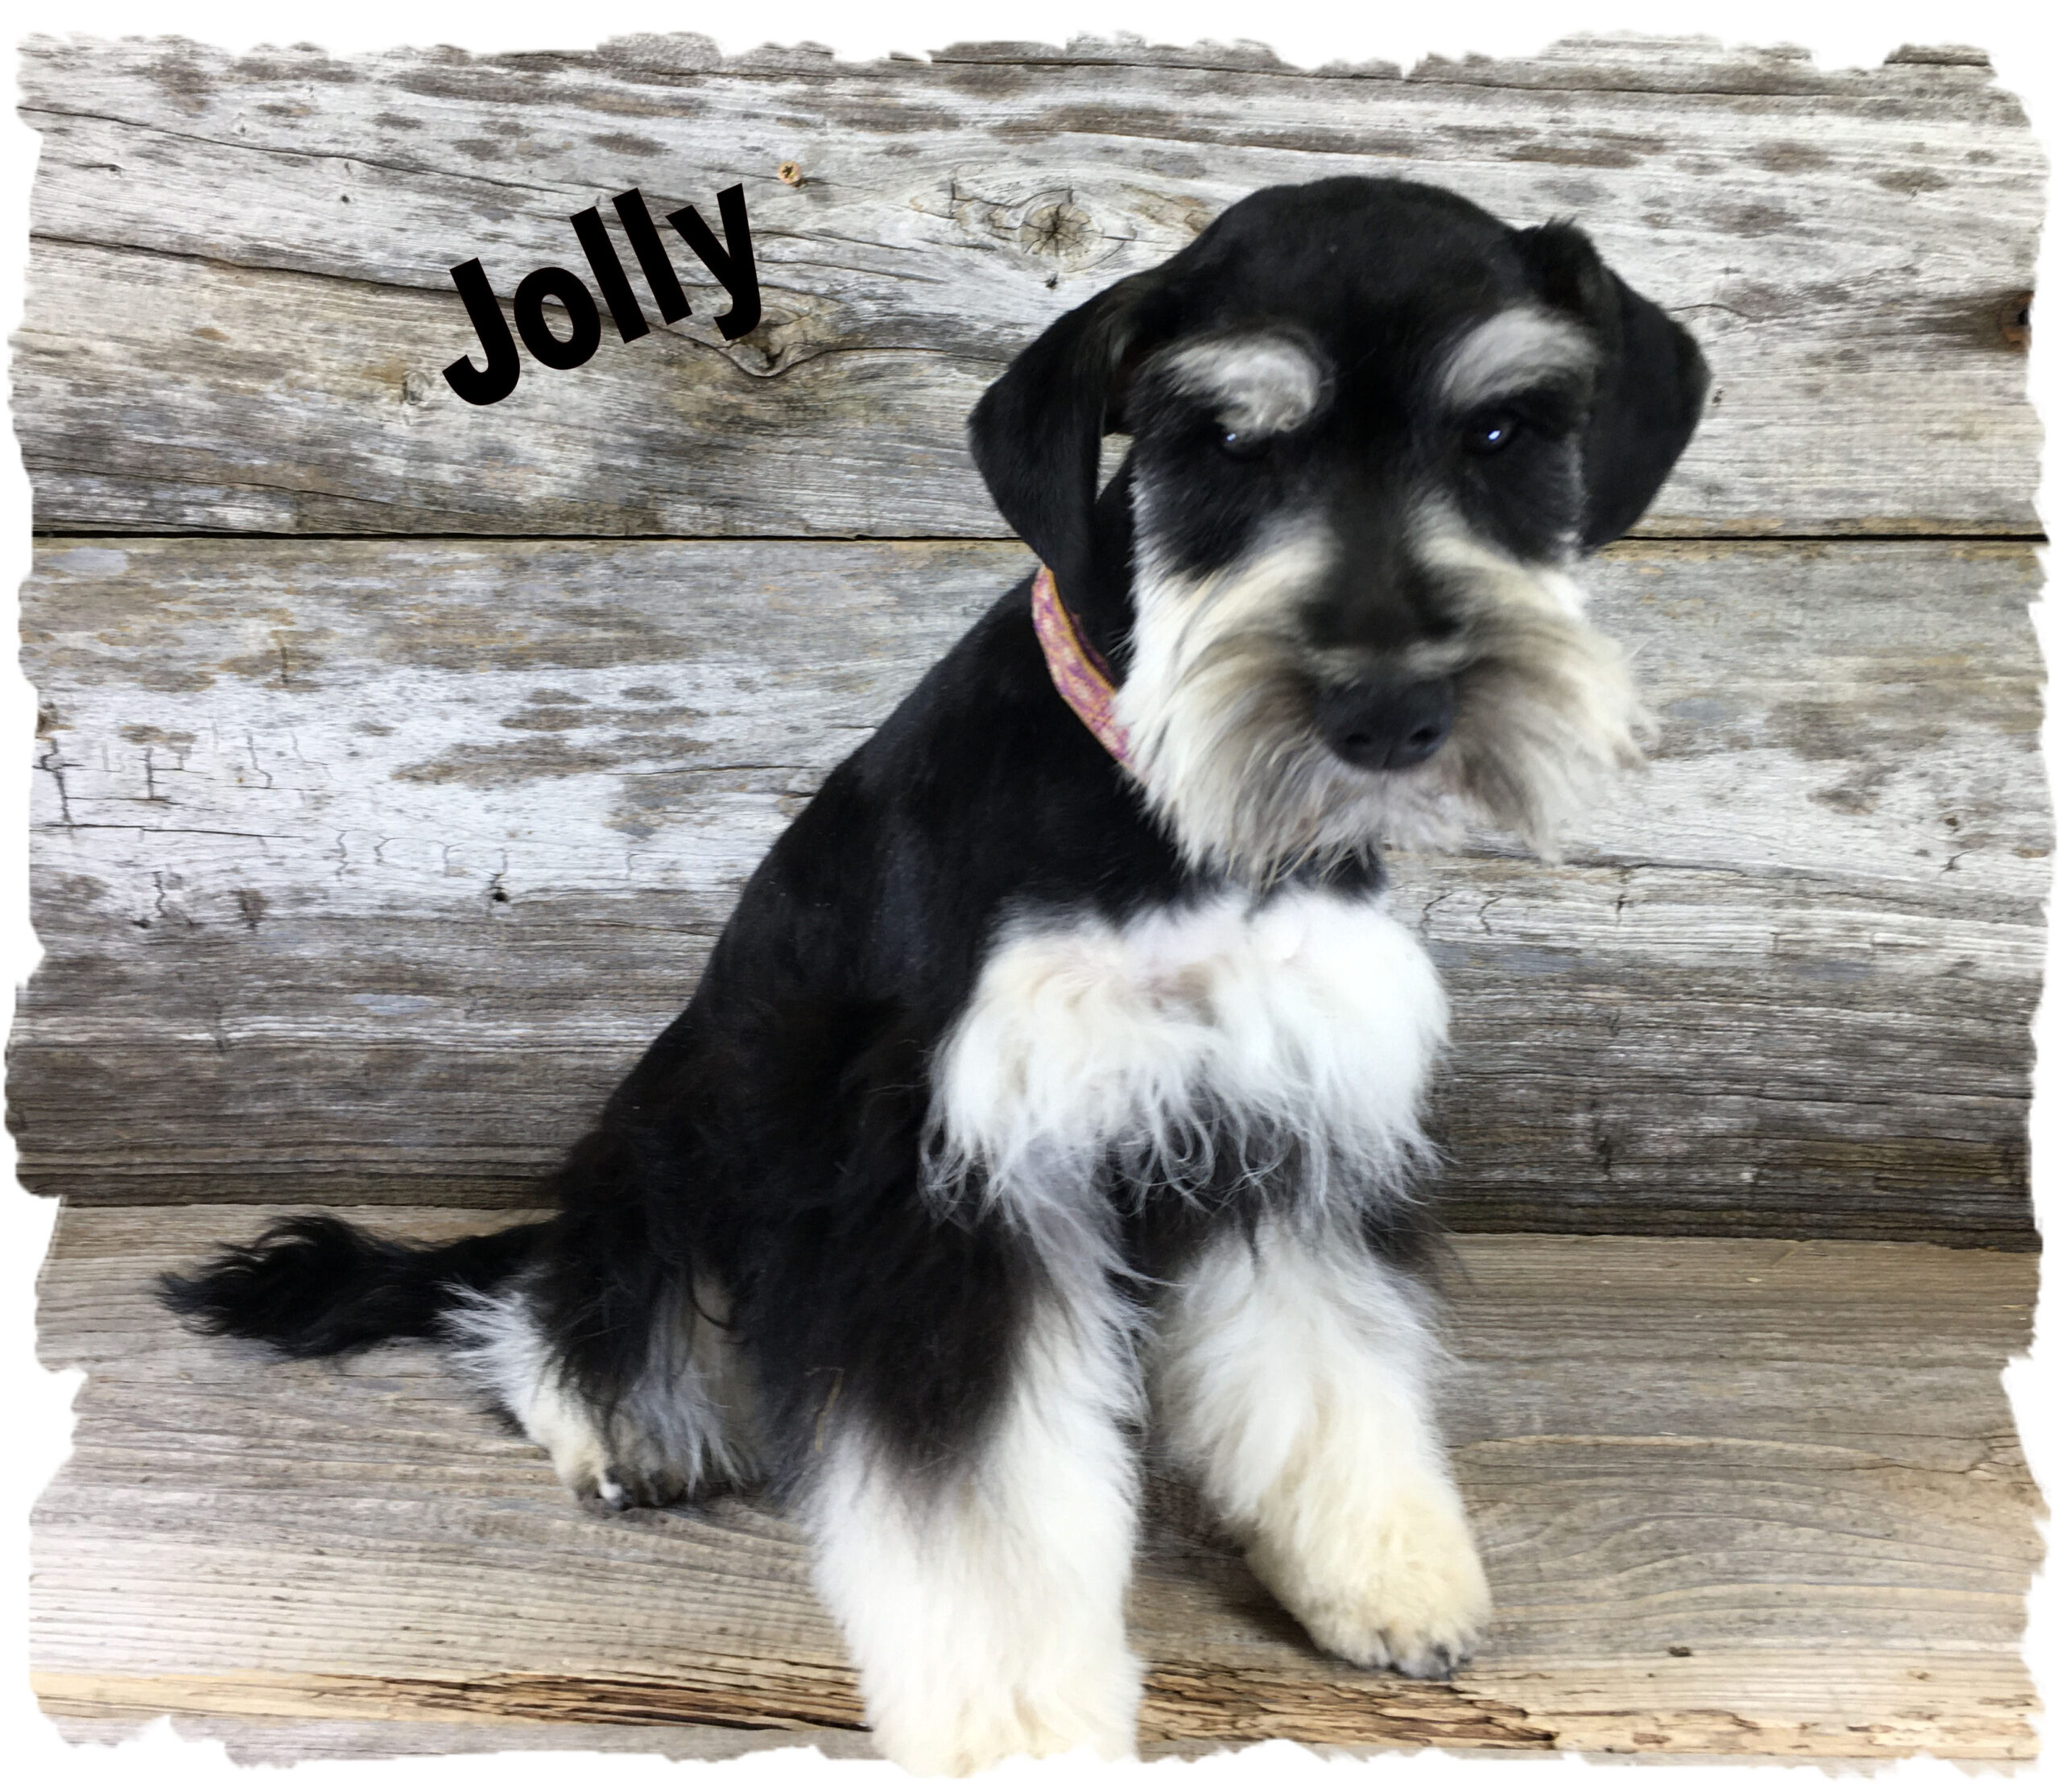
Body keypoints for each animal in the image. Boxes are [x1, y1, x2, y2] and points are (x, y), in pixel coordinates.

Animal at [162, 176, 1708, 1774]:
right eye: (1225, 443)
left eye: (1504, 434)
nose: (1390, 710)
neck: (1174, 826)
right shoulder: (948, 1181)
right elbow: (984, 1511)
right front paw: (1022, 1726)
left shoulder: (1280, 1130)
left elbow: (1328, 1372)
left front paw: (1384, 1575)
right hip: (672, 1151)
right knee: (554, 1313)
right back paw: (619, 1427)